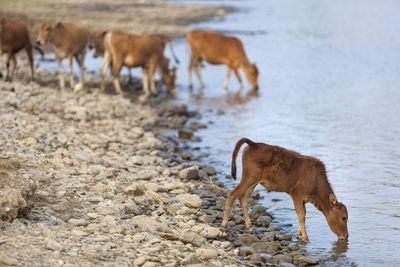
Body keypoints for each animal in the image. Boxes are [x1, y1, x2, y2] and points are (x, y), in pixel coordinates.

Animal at [220, 138, 348, 243]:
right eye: (343, 217)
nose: (346, 236)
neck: (316, 179)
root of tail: (253, 144)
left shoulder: (302, 200)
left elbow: (303, 214)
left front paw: (299, 234)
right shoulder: (296, 195)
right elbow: (301, 215)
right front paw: (305, 238)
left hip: (252, 183)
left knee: (243, 198)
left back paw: (250, 227)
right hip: (248, 179)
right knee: (232, 194)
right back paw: (223, 226)